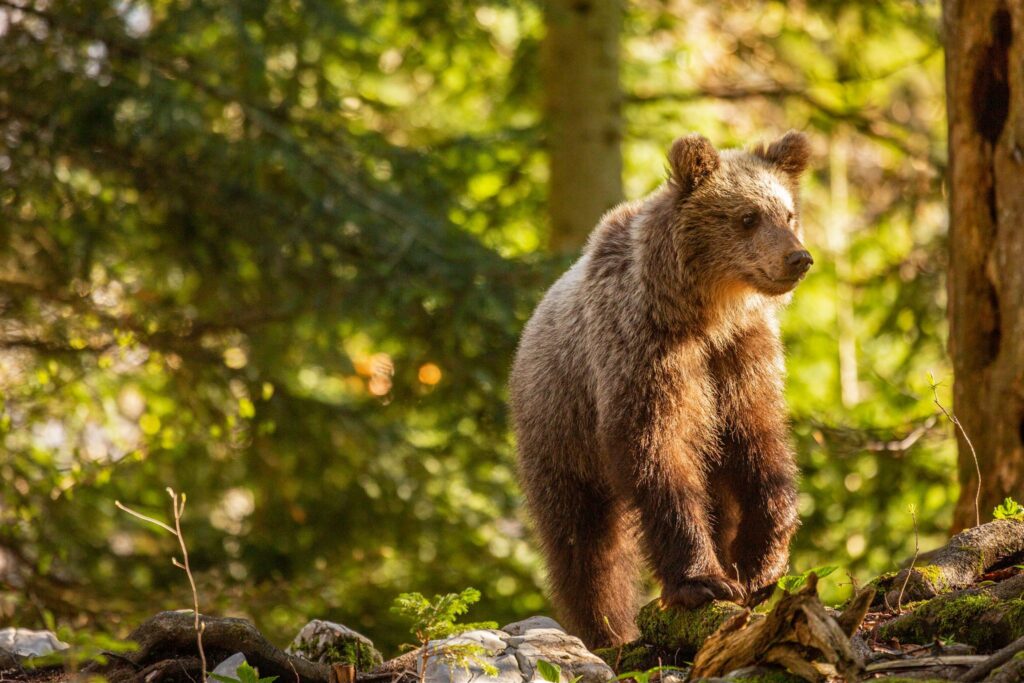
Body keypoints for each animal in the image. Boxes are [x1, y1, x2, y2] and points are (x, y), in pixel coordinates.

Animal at [507, 131, 811, 651]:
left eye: (788, 213)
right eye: (747, 217)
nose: (798, 258)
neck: (707, 313)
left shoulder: (740, 359)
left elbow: (761, 445)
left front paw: (759, 564)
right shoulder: (643, 352)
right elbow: (656, 451)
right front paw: (703, 581)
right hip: (560, 428)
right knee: (584, 542)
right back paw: (604, 628)